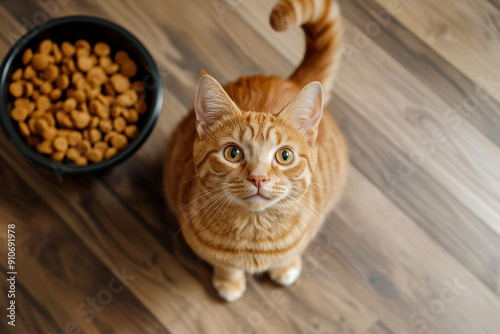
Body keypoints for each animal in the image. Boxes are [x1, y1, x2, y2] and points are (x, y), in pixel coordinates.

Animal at [164, 0, 348, 302]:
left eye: (285, 156)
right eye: (233, 153)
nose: (259, 178)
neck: (254, 234)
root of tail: (289, 80)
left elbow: (290, 255)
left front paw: (286, 268)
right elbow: (225, 265)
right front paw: (229, 282)